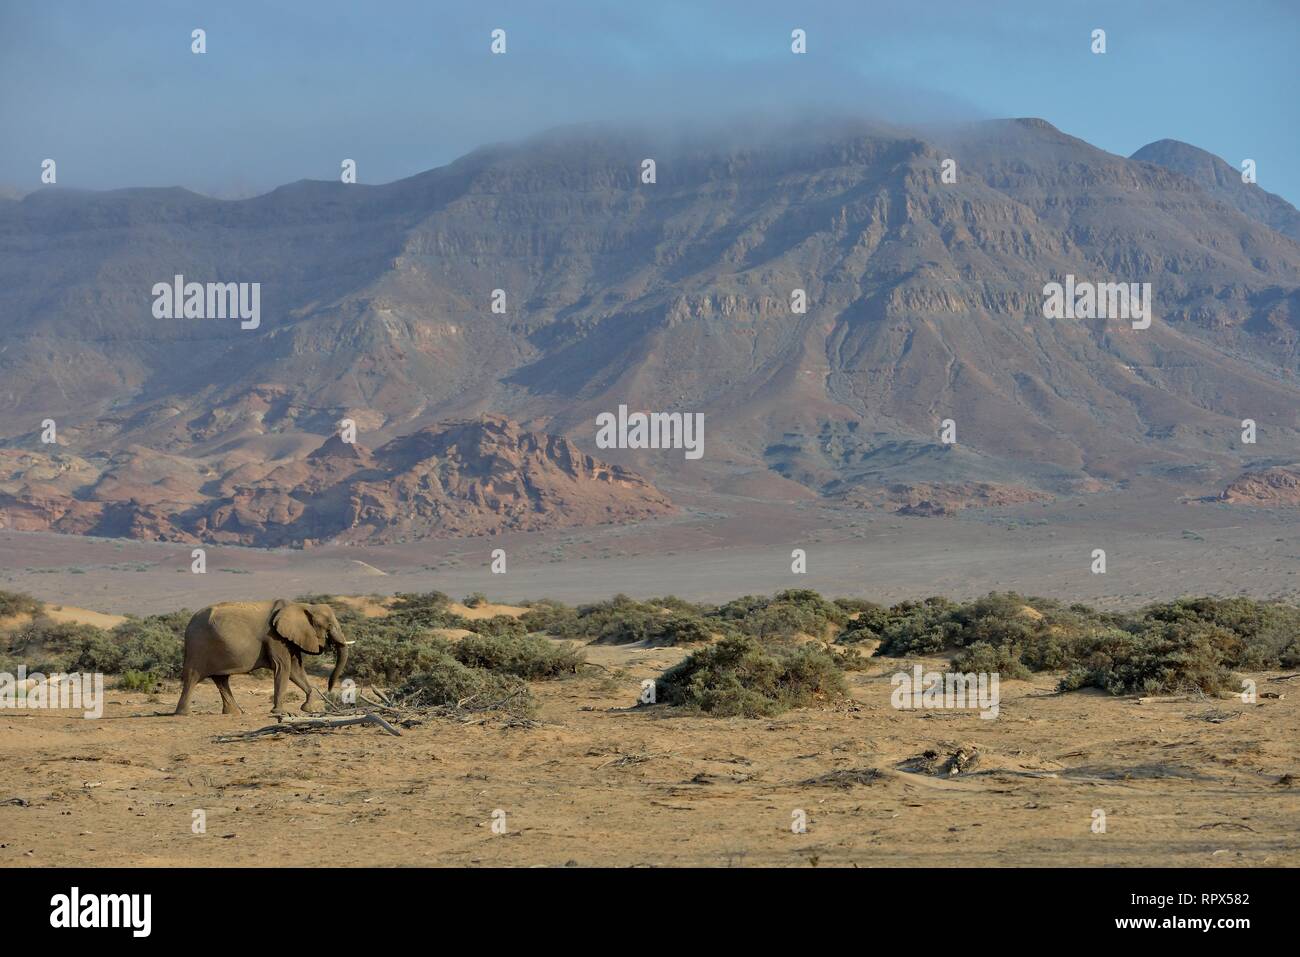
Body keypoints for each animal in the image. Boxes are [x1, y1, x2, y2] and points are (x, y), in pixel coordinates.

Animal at [175, 600, 356, 712]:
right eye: (329, 625)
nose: (330, 688)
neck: (300, 606)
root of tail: (188, 624)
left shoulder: (288, 637)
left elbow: (295, 670)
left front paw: (307, 708)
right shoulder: (274, 636)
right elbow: (283, 667)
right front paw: (278, 711)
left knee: (221, 680)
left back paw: (235, 713)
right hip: (198, 646)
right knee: (192, 676)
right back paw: (183, 713)